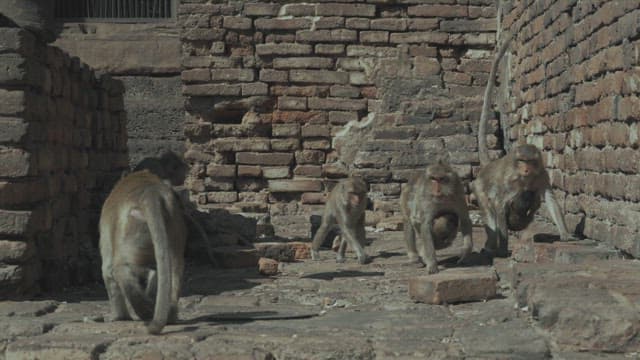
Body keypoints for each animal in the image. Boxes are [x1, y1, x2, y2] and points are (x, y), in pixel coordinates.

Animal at [99, 170, 186, 334]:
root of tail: (151, 192)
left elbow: (107, 269)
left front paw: (119, 317)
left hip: (134, 228)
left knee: (119, 268)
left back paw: (145, 311)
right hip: (174, 223)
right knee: (174, 267)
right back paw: (169, 314)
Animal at [472, 31, 572, 258]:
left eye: (530, 162)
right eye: (521, 161)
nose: (526, 169)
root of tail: (489, 165)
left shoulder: (542, 173)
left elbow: (549, 198)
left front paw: (565, 233)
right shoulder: (509, 180)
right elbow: (499, 204)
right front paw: (502, 247)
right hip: (479, 187)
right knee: (491, 211)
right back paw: (491, 246)